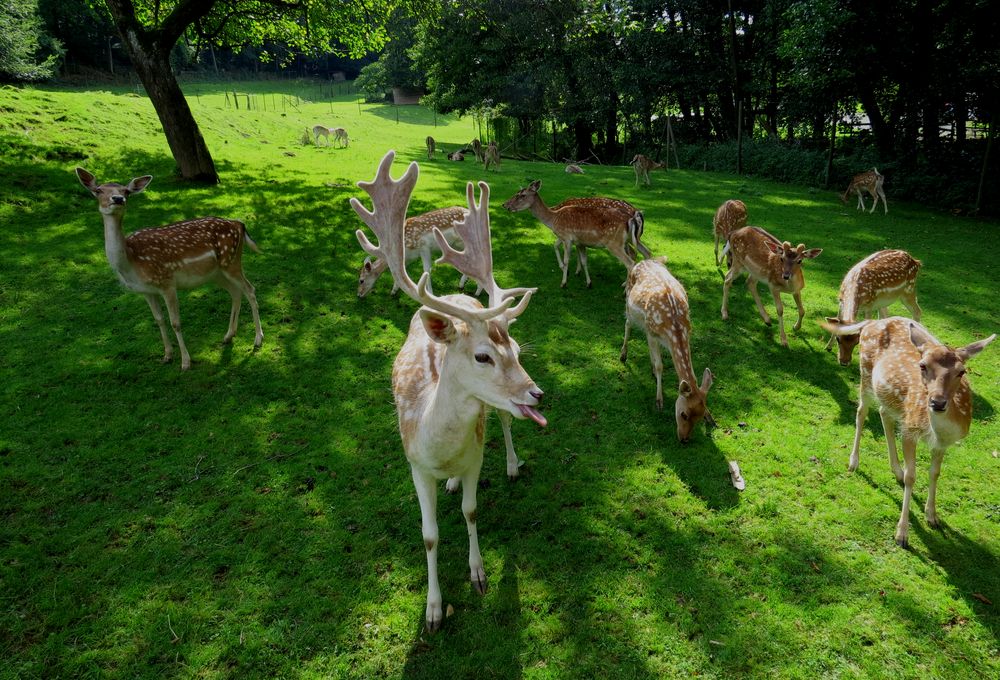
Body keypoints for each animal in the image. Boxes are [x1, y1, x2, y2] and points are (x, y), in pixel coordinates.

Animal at [76, 169, 264, 372]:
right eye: (98, 190)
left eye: (126, 191)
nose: (118, 199)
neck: (132, 262)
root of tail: (239, 224)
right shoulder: (146, 291)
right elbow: (159, 319)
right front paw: (167, 355)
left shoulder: (167, 283)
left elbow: (176, 323)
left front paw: (185, 362)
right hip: (216, 273)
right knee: (236, 292)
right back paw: (228, 336)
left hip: (231, 261)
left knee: (250, 289)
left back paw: (258, 339)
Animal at [348, 151, 544, 636]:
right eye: (481, 356)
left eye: (514, 350)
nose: (537, 394)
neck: (439, 447)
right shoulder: (415, 465)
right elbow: (430, 535)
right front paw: (433, 610)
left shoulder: (475, 456)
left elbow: (472, 511)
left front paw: (478, 575)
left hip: (499, 415)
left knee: (505, 422)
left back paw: (510, 464)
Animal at [504, 178, 652, 286]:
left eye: (522, 195)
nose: (505, 205)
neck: (553, 218)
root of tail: (635, 215)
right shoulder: (577, 241)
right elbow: (579, 257)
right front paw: (582, 277)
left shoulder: (567, 237)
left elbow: (566, 258)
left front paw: (564, 280)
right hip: (633, 239)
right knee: (646, 252)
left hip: (614, 243)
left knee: (630, 261)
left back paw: (625, 288)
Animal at [620, 258, 716, 444]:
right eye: (683, 414)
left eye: (699, 418)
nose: (684, 440)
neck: (674, 328)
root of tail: (641, 261)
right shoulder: (652, 332)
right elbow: (660, 366)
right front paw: (659, 401)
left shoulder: (686, 333)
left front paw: (711, 417)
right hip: (628, 300)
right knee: (628, 324)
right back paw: (623, 355)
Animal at [824, 318, 996, 548]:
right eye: (922, 366)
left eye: (962, 371)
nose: (937, 402)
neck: (937, 430)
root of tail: (873, 321)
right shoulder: (909, 431)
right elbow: (911, 477)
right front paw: (902, 534)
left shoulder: (943, 443)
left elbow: (935, 473)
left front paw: (932, 516)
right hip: (865, 372)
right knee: (861, 412)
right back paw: (853, 462)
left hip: (890, 398)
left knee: (883, 413)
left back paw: (895, 469)